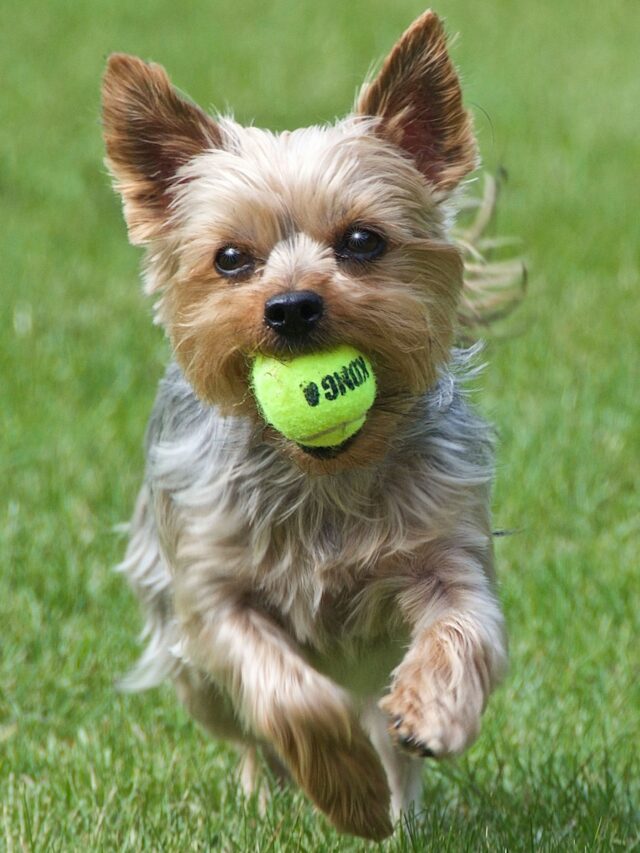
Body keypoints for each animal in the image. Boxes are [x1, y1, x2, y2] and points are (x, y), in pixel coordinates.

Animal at [102, 10, 508, 840]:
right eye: (231, 258)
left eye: (362, 241)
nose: (291, 306)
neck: (325, 474)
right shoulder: (213, 590)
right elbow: (287, 696)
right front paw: (345, 790)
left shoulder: (446, 547)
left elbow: (463, 628)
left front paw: (433, 713)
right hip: (186, 658)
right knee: (246, 730)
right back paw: (275, 793)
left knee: (383, 729)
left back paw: (403, 804)